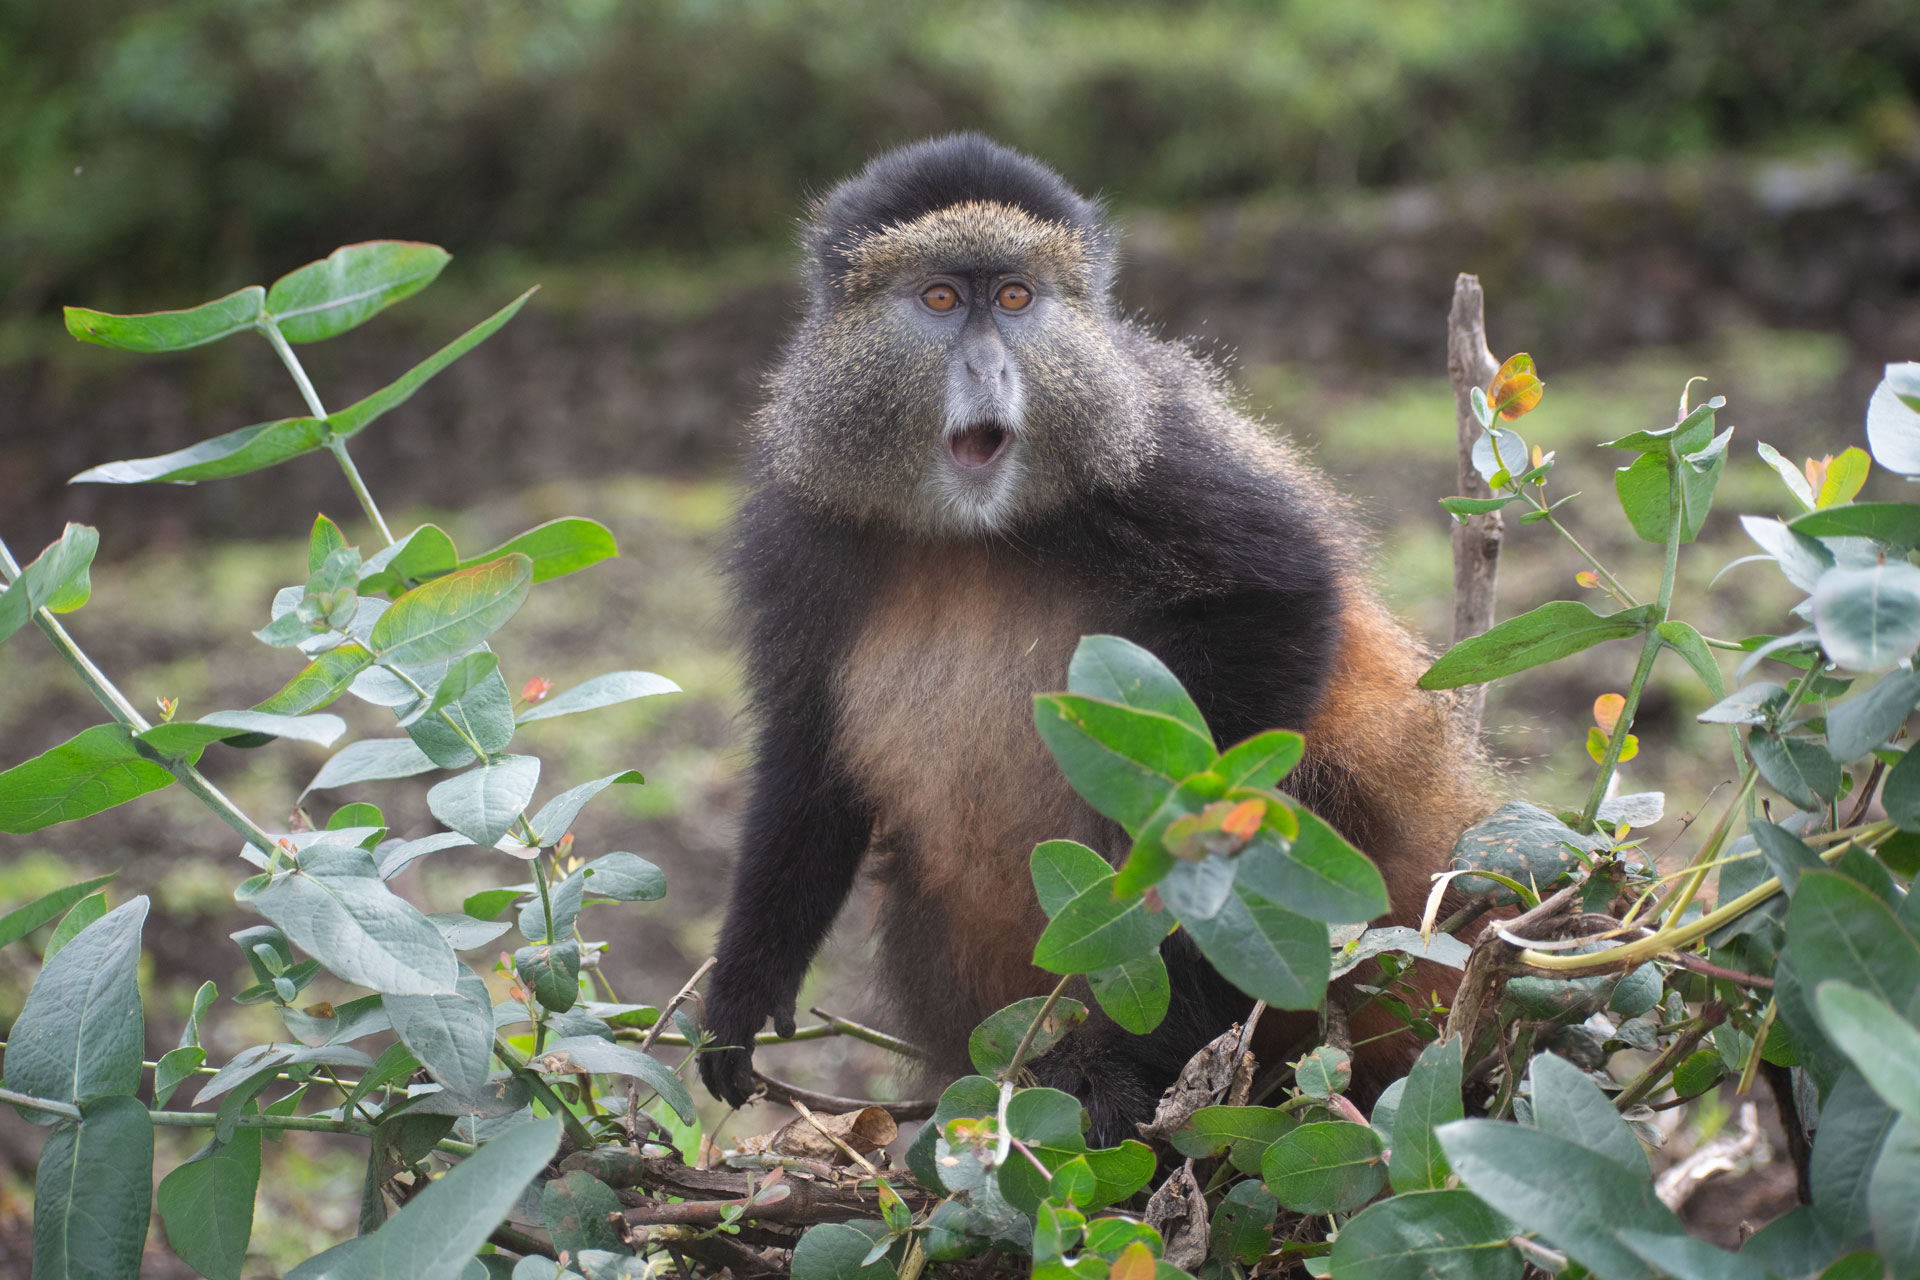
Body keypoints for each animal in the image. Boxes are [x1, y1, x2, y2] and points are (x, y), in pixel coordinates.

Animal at [697, 133, 1492, 1144]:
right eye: (941, 300)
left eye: (1015, 299)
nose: (989, 370)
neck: (967, 532)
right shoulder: (800, 531)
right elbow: (805, 750)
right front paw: (740, 994)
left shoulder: (1155, 455)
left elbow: (1284, 596)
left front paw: (1152, 851)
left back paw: (1140, 1080)